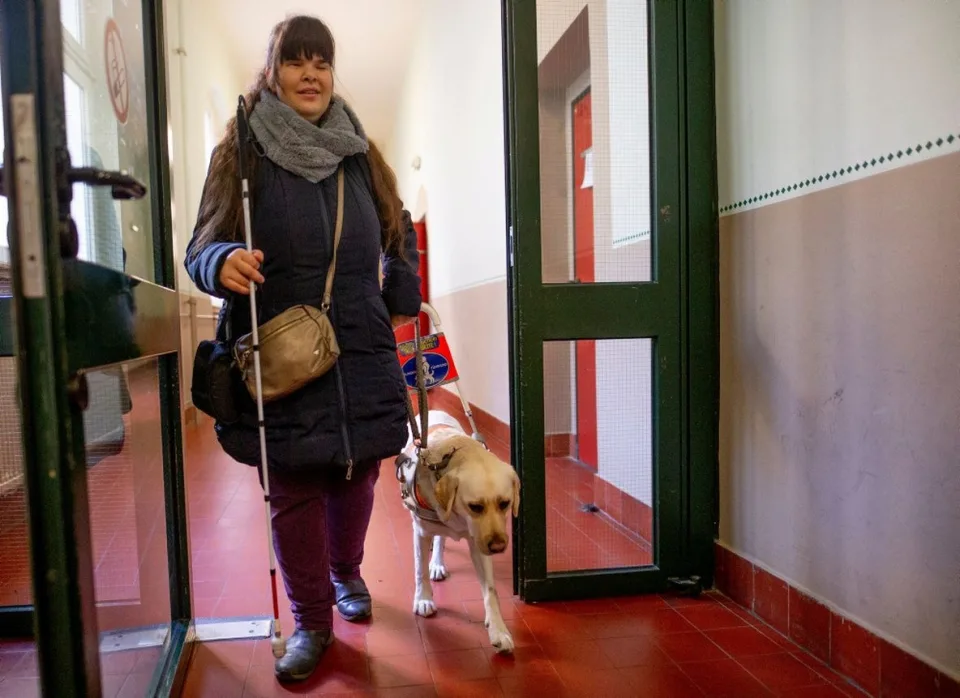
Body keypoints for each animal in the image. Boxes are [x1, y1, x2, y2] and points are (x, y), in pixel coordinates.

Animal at [396, 410, 520, 648]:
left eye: (505, 503)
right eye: (475, 507)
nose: (498, 547)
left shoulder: (478, 544)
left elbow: (491, 591)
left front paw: (498, 629)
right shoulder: (421, 532)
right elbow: (420, 570)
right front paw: (424, 599)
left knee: (441, 540)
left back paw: (437, 563)